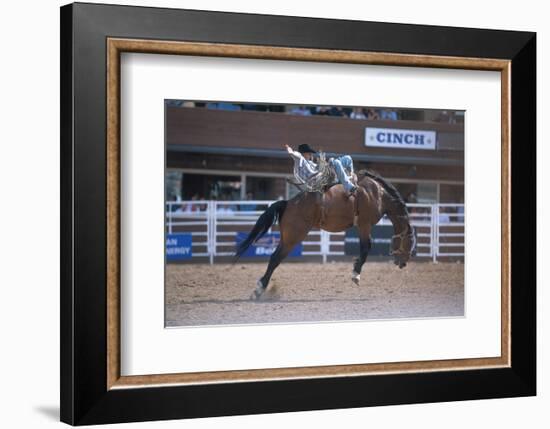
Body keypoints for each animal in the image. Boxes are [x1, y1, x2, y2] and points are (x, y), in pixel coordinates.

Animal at [235, 169, 416, 300]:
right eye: (409, 242)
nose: (403, 263)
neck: (377, 194)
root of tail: (288, 203)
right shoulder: (365, 224)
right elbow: (366, 248)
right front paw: (355, 275)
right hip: (293, 238)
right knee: (274, 259)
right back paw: (259, 290)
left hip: (286, 238)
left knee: (274, 258)